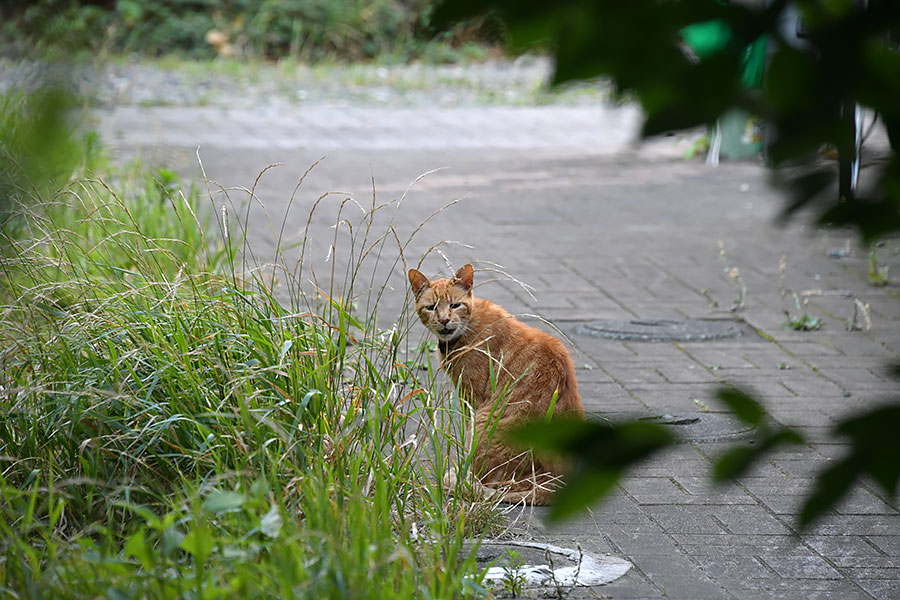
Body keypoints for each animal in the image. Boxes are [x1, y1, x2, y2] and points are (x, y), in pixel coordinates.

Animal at [408, 264, 584, 504]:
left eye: (455, 305)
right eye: (431, 307)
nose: (444, 320)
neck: (468, 327)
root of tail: (555, 484)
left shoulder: (471, 399)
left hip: (484, 422)